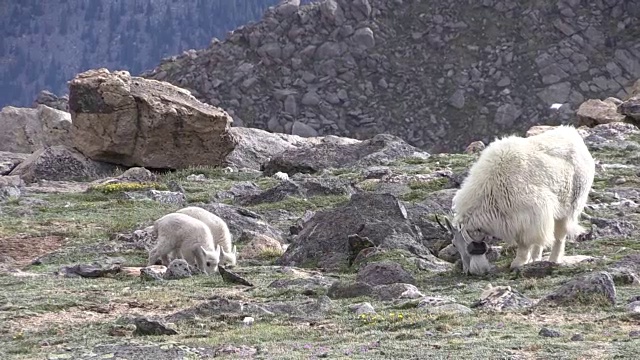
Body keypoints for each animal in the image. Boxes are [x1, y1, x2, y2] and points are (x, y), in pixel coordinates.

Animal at [436, 125, 596, 274]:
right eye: (454, 244)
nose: (468, 271)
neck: (490, 190)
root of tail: (574, 136)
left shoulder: (528, 214)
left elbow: (524, 242)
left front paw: (518, 263)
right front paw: (527, 260)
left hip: (572, 203)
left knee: (559, 235)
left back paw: (553, 260)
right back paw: (536, 259)